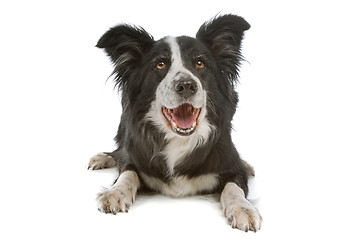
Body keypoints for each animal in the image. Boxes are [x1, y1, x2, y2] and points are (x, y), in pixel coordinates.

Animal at [87, 14, 262, 232]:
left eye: (200, 63)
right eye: (160, 64)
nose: (186, 85)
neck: (180, 139)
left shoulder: (231, 166)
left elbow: (233, 187)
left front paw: (242, 209)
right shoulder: (135, 157)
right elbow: (127, 173)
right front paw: (115, 192)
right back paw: (102, 157)